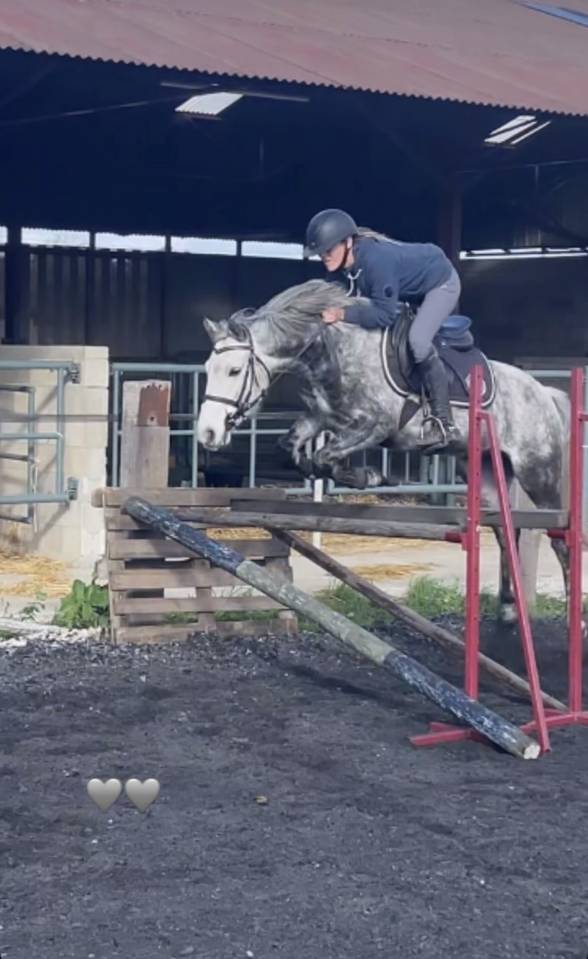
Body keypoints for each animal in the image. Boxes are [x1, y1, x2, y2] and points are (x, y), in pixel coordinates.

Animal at [197, 278, 571, 624]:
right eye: (207, 370)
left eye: (234, 370)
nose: (207, 433)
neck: (329, 351)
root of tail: (542, 391)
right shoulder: (321, 418)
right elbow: (295, 448)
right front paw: (335, 471)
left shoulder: (376, 426)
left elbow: (326, 456)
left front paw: (370, 476)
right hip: (485, 470)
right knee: (507, 532)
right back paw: (508, 609)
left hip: (538, 471)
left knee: (558, 535)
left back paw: (572, 616)